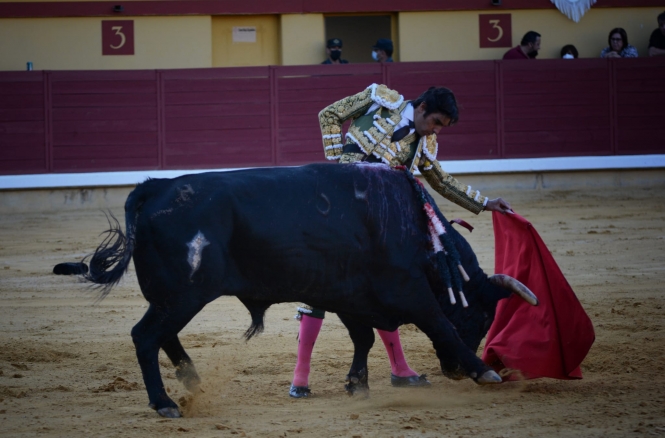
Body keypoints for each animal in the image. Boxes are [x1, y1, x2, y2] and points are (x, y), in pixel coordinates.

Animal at [85, 163, 536, 418]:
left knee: (165, 336)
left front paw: (357, 384)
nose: (453, 371)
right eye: (481, 316)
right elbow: (439, 324)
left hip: (173, 297)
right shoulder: (408, 291)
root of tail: (155, 186)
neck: (421, 234)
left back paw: (192, 381)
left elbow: (364, 337)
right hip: (183, 295)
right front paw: (485, 371)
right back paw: (164, 403)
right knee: (145, 337)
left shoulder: (351, 296)